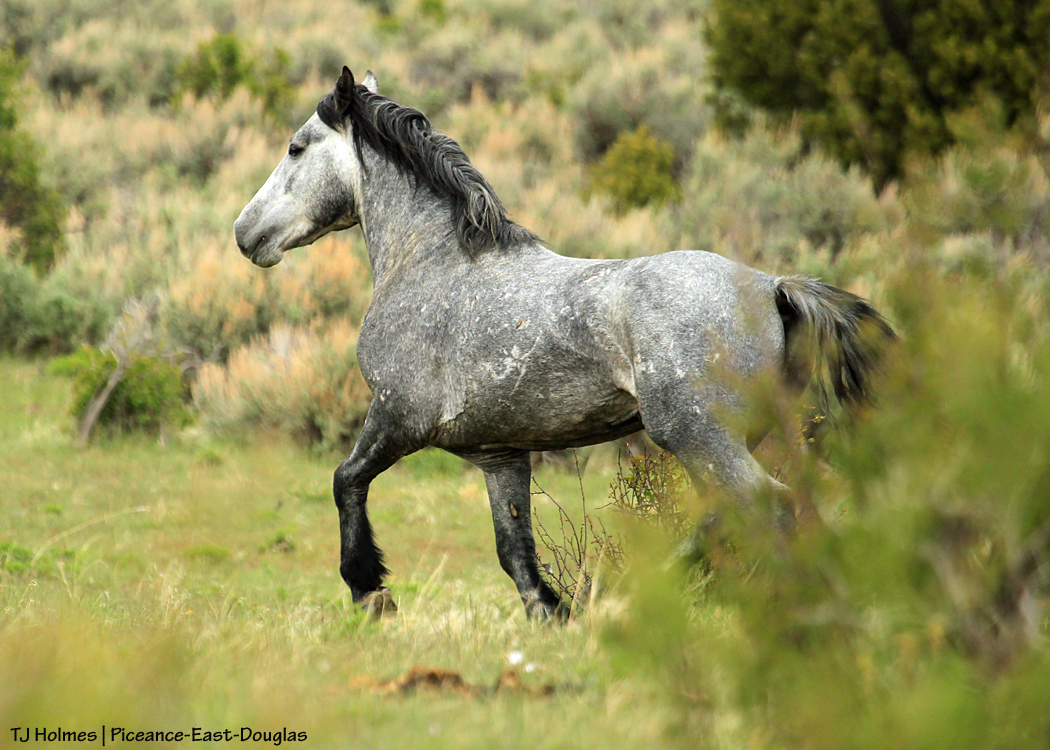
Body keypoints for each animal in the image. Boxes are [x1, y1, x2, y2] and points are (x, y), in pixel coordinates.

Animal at [234, 67, 895, 618]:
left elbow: (346, 480)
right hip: (736, 436)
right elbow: (515, 551)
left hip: (696, 434)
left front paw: (370, 592)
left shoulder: (398, 416)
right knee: (737, 514)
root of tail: (771, 287)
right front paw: (553, 615)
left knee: (771, 508)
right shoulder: (500, 455)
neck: (433, 263)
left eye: (295, 146)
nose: (246, 233)